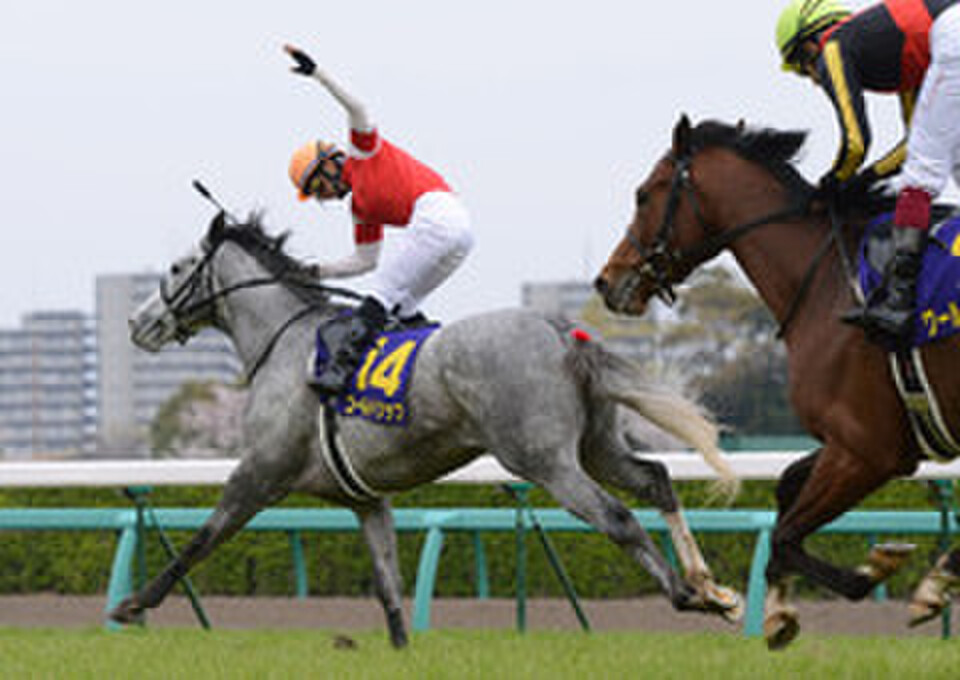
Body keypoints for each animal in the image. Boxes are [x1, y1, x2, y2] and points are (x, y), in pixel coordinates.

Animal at [109, 209, 744, 647]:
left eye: (177, 267)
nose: (137, 323)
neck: (286, 343)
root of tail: (562, 330)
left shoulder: (261, 471)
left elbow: (202, 538)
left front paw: (132, 605)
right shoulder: (365, 500)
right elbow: (387, 581)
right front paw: (400, 648)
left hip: (544, 460)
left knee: (617, 518)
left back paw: (689, 596)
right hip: (597, 446)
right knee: (656, 479)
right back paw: (713, 588)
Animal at [594, 115, 960, 649]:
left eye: (644, 195)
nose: (607, 279)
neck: (828, 283)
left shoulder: (867, 452)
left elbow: (787, 535)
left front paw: (876, 570)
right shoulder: (854, 443)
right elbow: (786, 492)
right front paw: (778, 608)